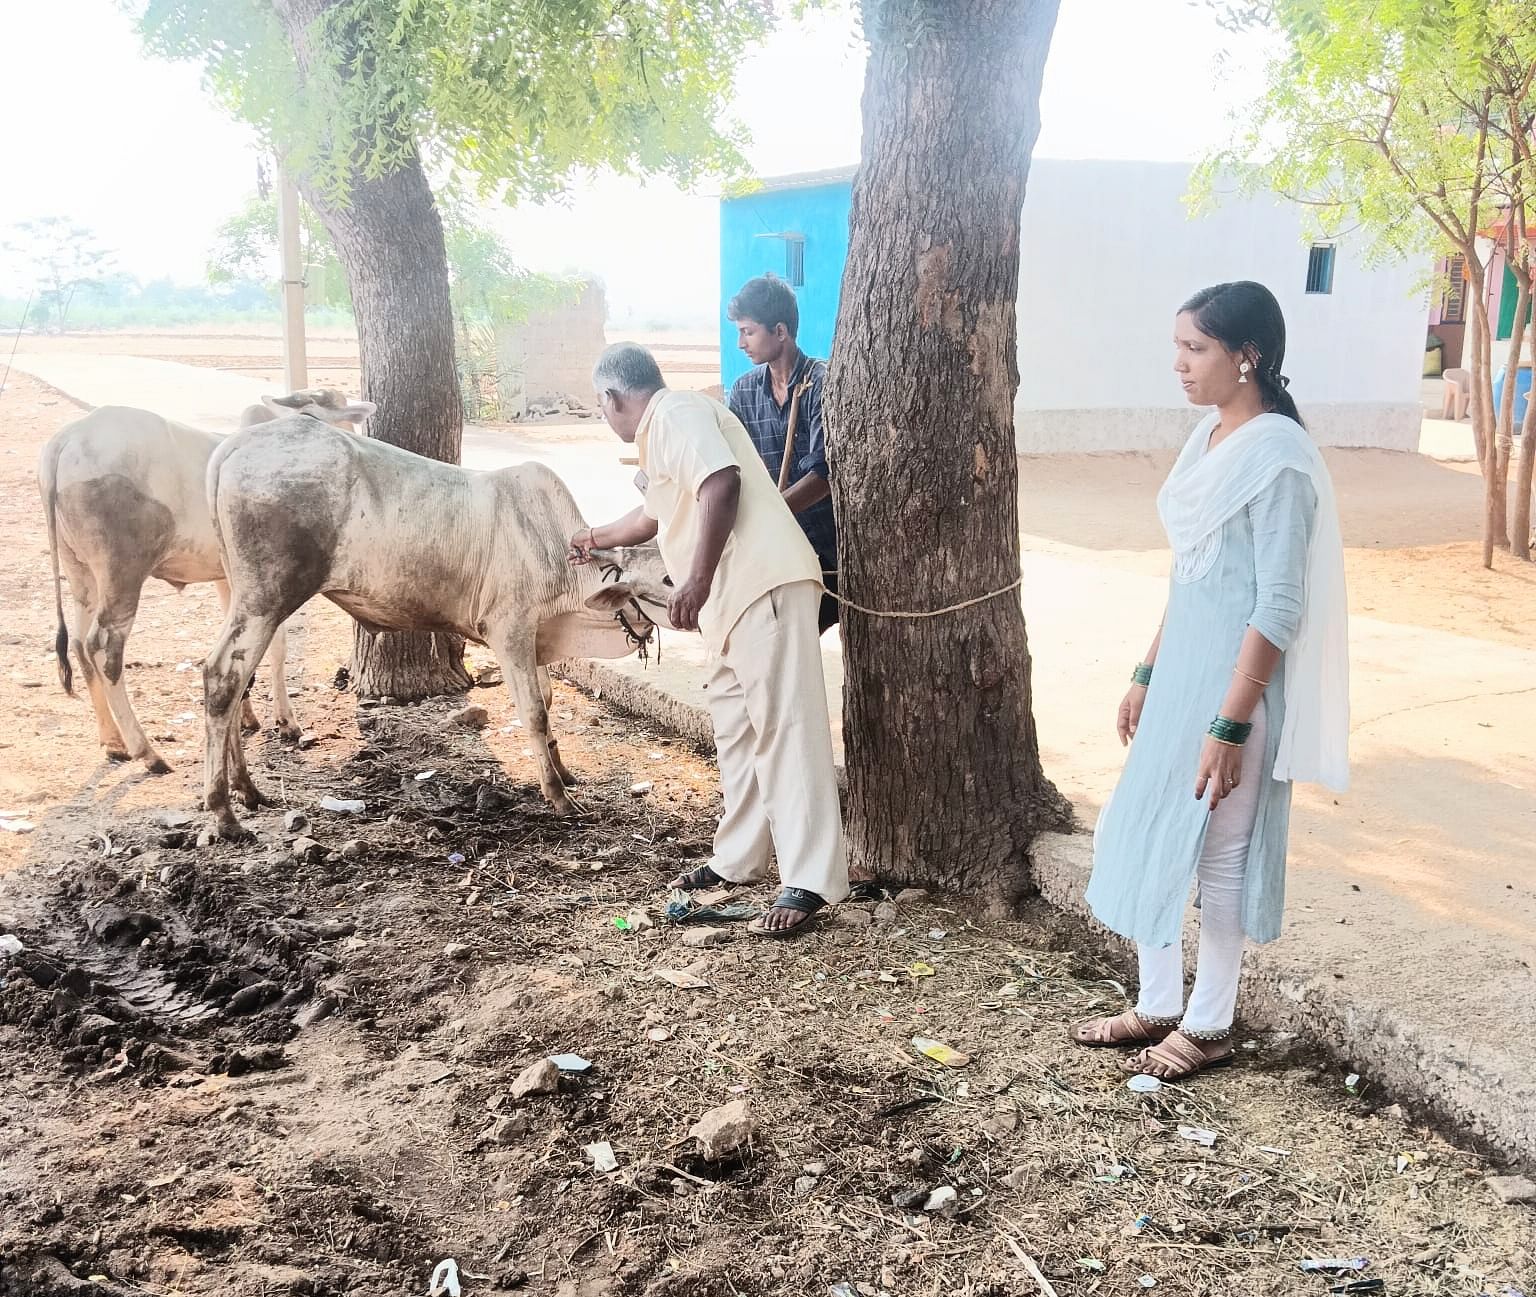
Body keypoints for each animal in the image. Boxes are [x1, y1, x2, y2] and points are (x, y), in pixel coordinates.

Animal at [36, 385, 374, 771]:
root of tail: (67, 437)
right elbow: (277, 647)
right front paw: (286, 721)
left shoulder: (228, 580)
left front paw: (247, 717)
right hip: (122, 573)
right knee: (103, 648)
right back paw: (146, 751)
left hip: (80, 572)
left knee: (78, 644)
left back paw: (113, 741)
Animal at [198, 414, 666, 842]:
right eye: (665, 578)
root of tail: (236, 443)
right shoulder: (509, 630)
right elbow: (534, 712)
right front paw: (558, 796)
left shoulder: (536, 639)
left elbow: (548, 702)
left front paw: (563, 772)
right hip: (267, 598)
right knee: (223, 677)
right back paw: (224, 812)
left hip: (246, 596)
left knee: (233, 680)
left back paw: (246, 789)